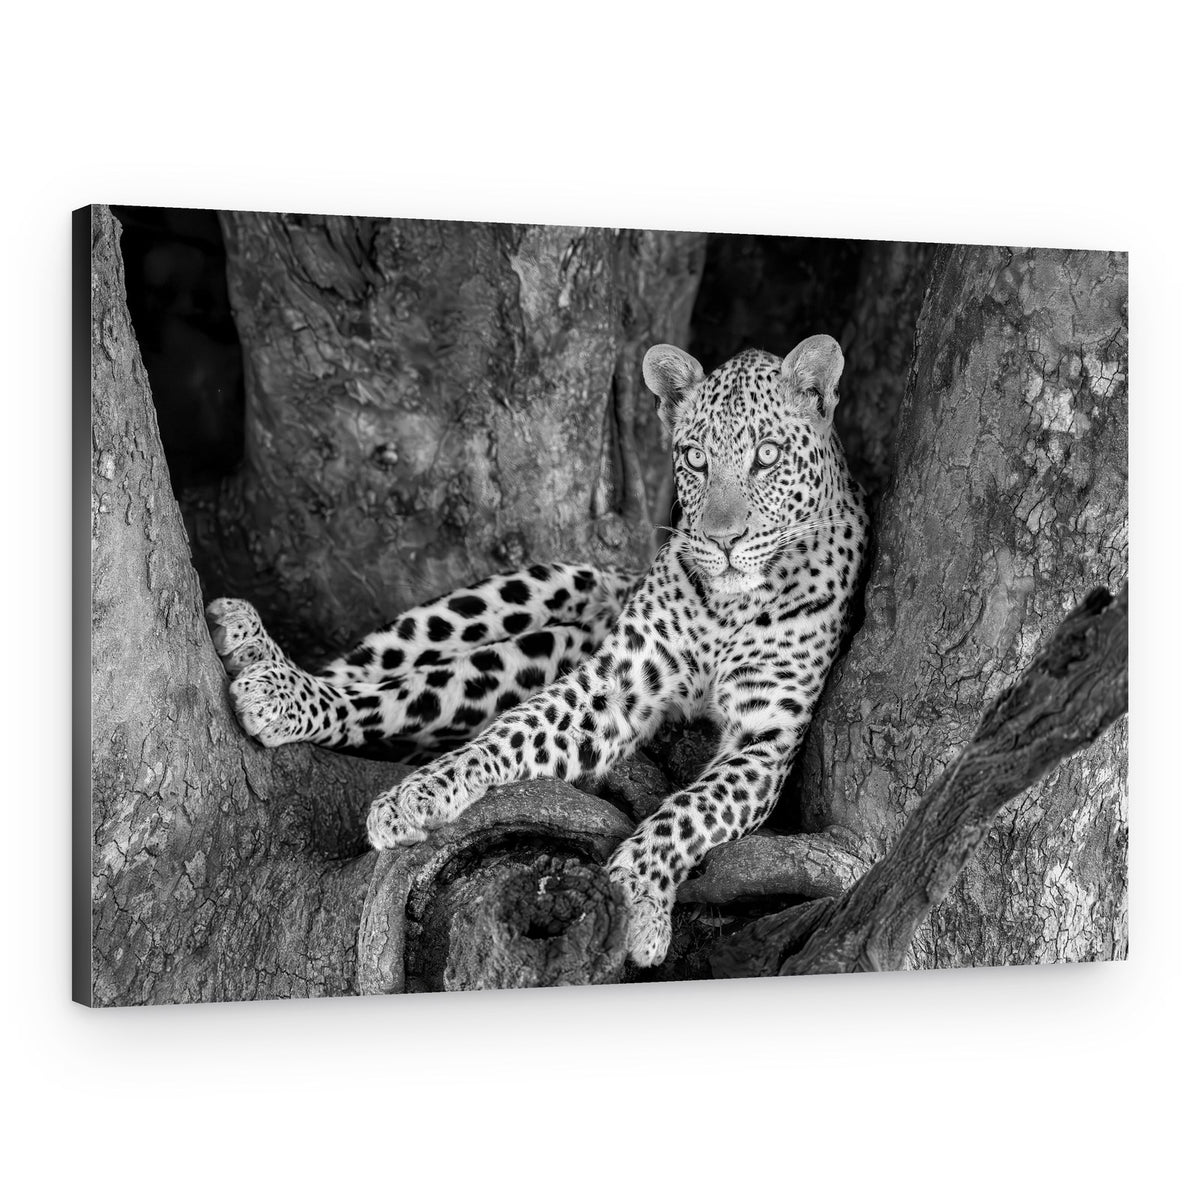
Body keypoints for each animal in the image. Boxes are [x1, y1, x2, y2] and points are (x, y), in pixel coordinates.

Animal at [207, 333, 869, 968]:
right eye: (696, 459)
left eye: (768, 456)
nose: (722, 540)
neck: (730, 608)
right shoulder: (614, 684)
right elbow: (513, 732)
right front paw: (420, 792)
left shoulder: (768, 736)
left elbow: (690, 811)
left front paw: (636, 899)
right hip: (517, 595)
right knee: (366, 680)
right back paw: (263, 665)